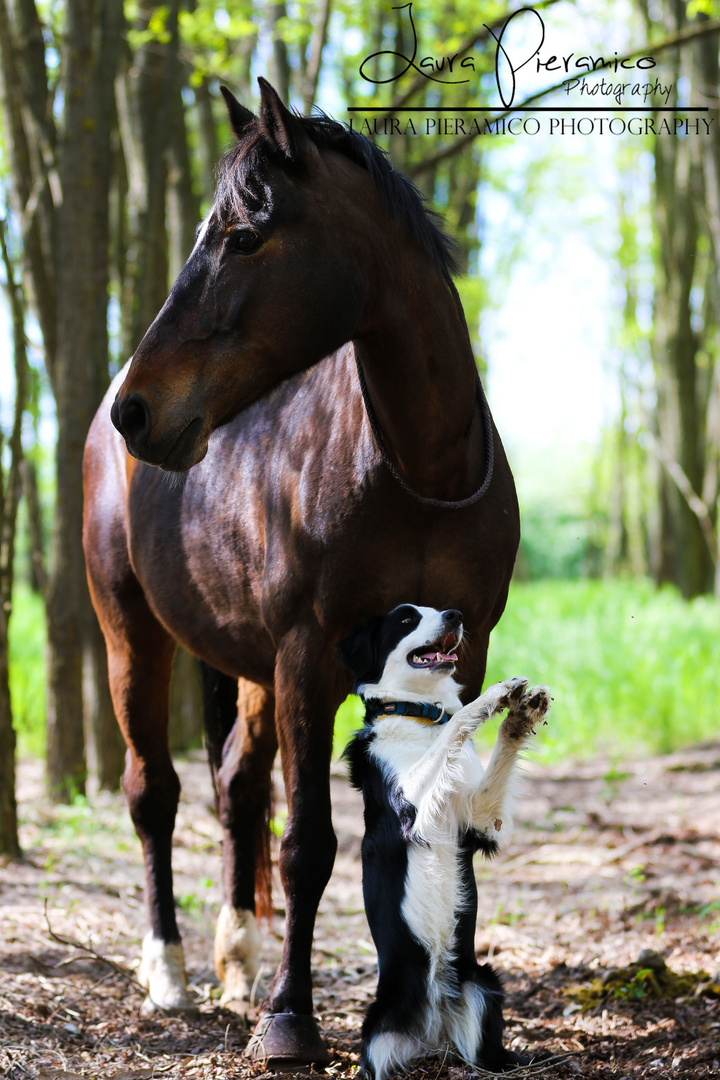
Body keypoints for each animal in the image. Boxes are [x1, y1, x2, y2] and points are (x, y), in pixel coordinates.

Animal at [84, 79, 520, 1067]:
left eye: (244, 236)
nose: (138, 409)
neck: (419, 471)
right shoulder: (308, 654)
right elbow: (309, 844)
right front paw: (290, 1020)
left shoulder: (466, 650)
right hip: (134, 635)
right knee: (155, 793)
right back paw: (169, 970)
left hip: (246, 666)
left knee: (237, 785)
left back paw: (237, 958)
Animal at [338, 604, 552, 1075]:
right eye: (405, 619)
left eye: (436, 609)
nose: (455, 615)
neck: (418, 716)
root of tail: (433, 1030)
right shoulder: (412, 807)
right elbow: (459, 720)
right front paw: (492, 696)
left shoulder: (480, 819)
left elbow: (493, 753)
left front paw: (519, 716)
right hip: (376, 1029)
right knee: (374, 1062)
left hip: (482, 984)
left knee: (486, 1057)